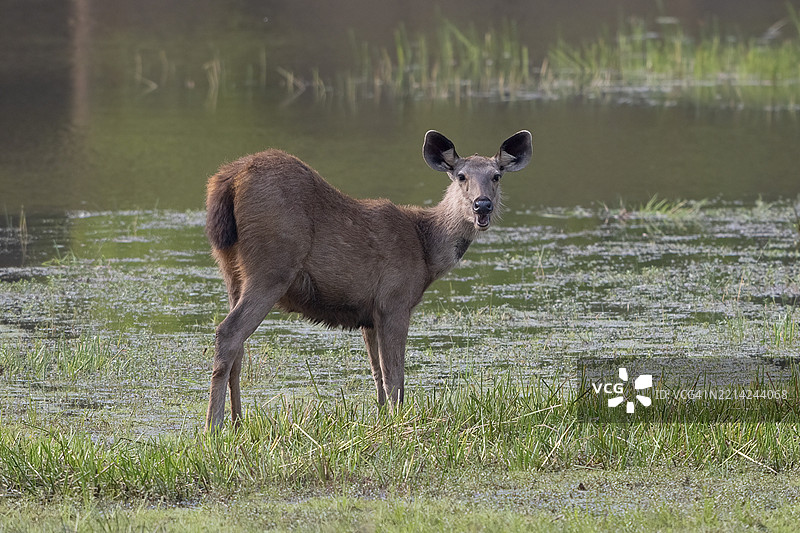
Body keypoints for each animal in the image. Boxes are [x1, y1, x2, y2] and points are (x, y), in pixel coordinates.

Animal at [204, 130, 533, 431]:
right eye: (461, 176)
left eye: (496, 176)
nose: (483, 205)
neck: (426, 250)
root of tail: (228, 179)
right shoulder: (394, 300)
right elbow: (395, 375)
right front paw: (399, 421)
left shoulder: (369, 314)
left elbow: (377, 373)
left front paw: (381, 417)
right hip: (273, 266)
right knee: (229, 332)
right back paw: (213, 426)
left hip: (231, 270)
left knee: (238, 346)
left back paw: (238, 421)